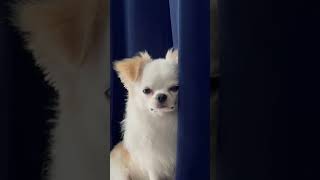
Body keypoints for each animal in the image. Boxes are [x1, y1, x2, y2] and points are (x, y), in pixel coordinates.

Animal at [111, 49, 179, 180]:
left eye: (175, 88)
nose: (161, 96)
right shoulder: (152, 163)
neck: (161, 120)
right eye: (146, 91)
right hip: (121, 174)